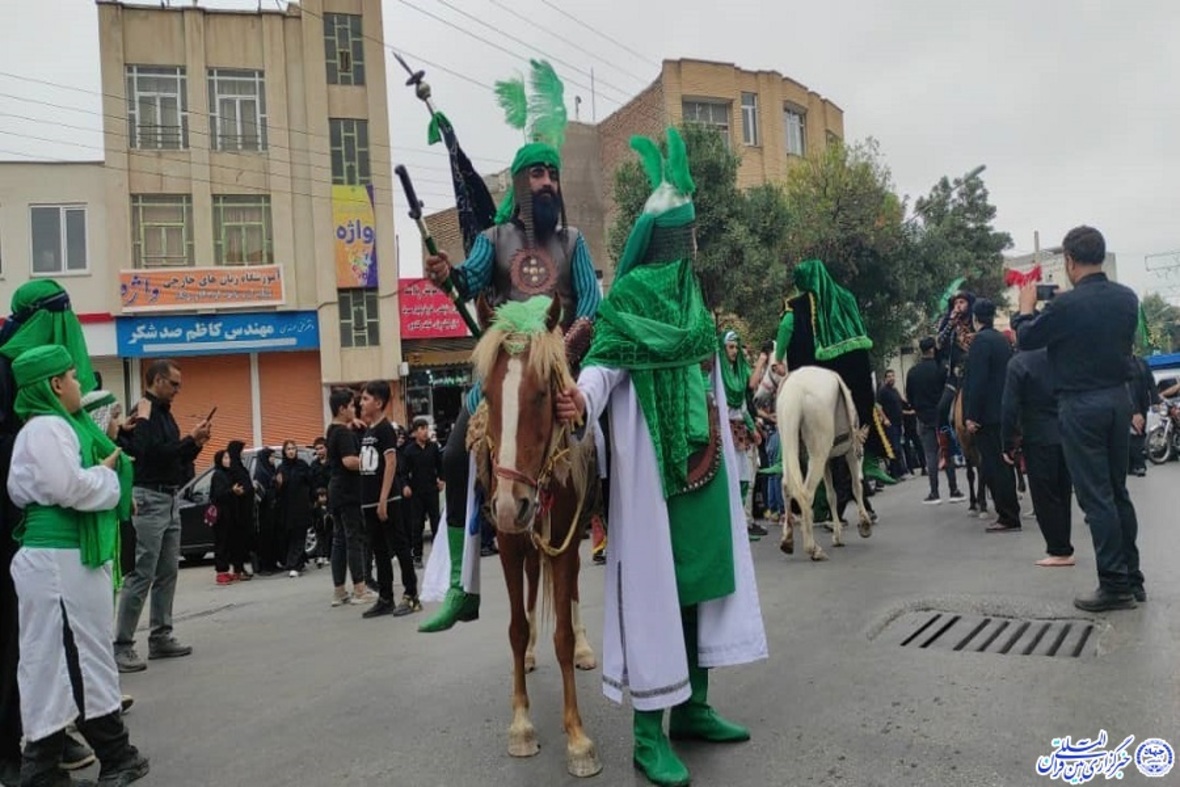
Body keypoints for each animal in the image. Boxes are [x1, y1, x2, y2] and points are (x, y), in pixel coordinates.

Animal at [469, 294, 602, 779]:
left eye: (543, 394)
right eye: (489, 395)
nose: (511, 506)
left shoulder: (563, 538)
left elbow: (560, 635)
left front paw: (578, 739)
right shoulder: (509, 544)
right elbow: (515, 627)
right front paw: (522, 725)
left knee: (576, 584)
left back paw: (584, 646)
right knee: (528, 587)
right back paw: (527, 655)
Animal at [776, 366, 873, 560]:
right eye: (861, 455)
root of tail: (794, 390)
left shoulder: (827, 461)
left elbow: (831, 495)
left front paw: (837, 535)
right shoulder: (850, 452)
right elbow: (855, 487)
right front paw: (864, 524)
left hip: (788, 445)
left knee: (786, 485)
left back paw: (788, 540)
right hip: (818, 452)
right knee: (806, 493)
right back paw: (812, 548)